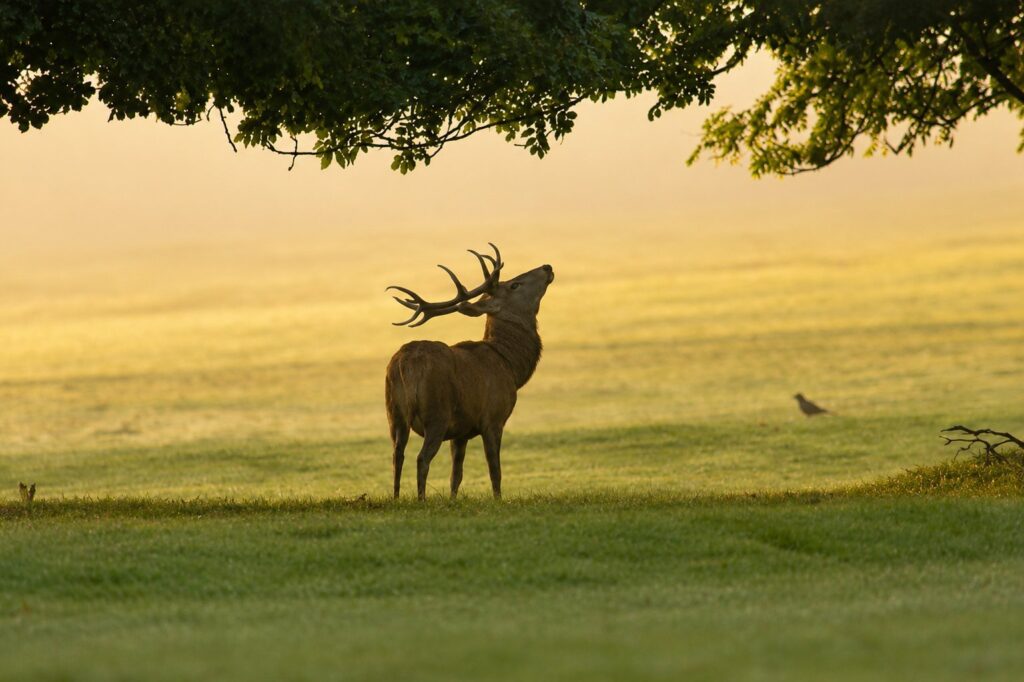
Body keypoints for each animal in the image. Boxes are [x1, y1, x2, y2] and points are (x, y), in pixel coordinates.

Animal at [385, 244, 554, 500]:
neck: (510, 365)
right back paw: (421, 499)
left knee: (397, 455)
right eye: (514, 285)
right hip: (437, 412)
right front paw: (498, 500)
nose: (547, 267)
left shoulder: (460, 431)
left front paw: (453, 500)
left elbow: (456, 474)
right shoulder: (493, 417)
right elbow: (495, 469)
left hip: (394, 413)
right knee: (422, 458)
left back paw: (396, 498)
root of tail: (406, 364)